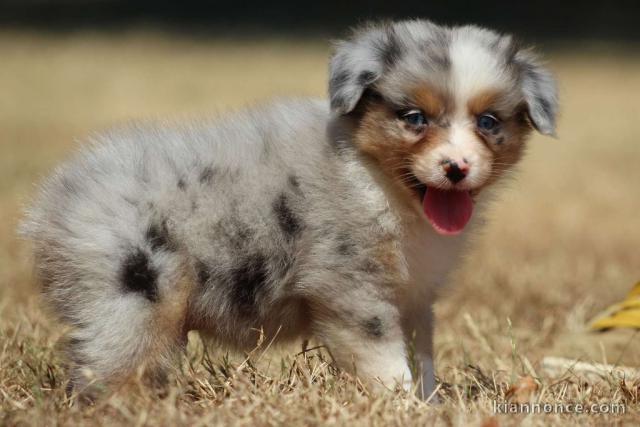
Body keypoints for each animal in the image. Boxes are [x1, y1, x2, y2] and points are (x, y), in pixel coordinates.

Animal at [22, 19, 556, 402]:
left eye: (488, 122)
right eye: (414, 118)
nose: (457, 168)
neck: (381, 185)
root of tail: (54, 200)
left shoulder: (414, 294)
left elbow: (421, 357)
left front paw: (431, 404)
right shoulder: (351, 290)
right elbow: (387, 364)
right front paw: (403, 406)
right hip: (132, 297)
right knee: (109, 369)